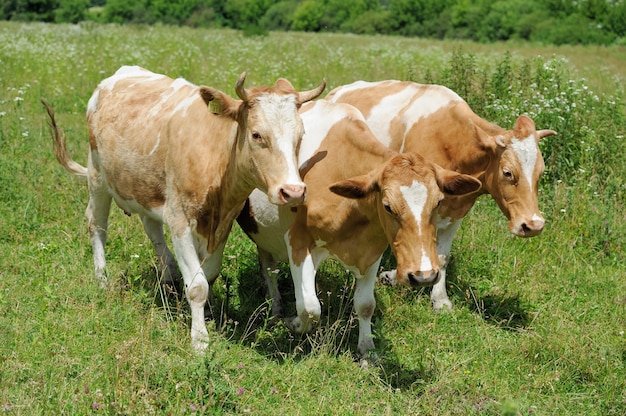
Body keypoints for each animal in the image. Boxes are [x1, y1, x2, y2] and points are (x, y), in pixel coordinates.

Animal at [43, 66, 324, 352]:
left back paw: (168, 274)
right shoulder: (180, 220)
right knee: (97, 226)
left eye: (301, 135)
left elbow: (208, 274)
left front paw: (206, 315)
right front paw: (199, 340)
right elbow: (197, 286)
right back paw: (102, 279)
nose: (293, 191)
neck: (215, 160)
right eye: (257, 134)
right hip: (98, 176)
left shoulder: (222, 224)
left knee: (152, 227)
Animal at [234, 99, 478, 356]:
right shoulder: (298, 242)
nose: (424, 276)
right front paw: (293, 323)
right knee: (270, 271)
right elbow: (309, 307)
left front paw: (367, 351)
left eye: (439, 202)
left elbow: (365, 304)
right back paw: (277, 309)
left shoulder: (373, 250)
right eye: (388, 206)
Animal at [324, 79, 552, 310]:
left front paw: (440, 298)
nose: (533, 225)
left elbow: (442, 257)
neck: (452, 145)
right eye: (508, 172)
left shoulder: (454, 214)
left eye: (541, 172)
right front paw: (393, 276)